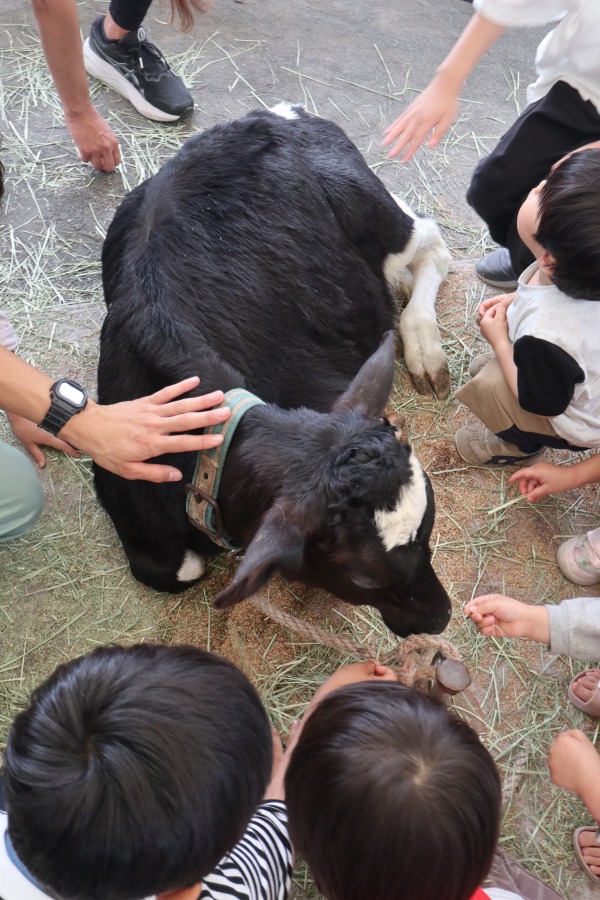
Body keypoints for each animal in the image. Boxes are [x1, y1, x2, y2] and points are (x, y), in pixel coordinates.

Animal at [95, 105, 450, 636]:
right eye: (364, 577)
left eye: (430, 523)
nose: (443, 616)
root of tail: (267, 115)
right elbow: (182, 568)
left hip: (372, 212)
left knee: (429, 239)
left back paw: (423, 341)